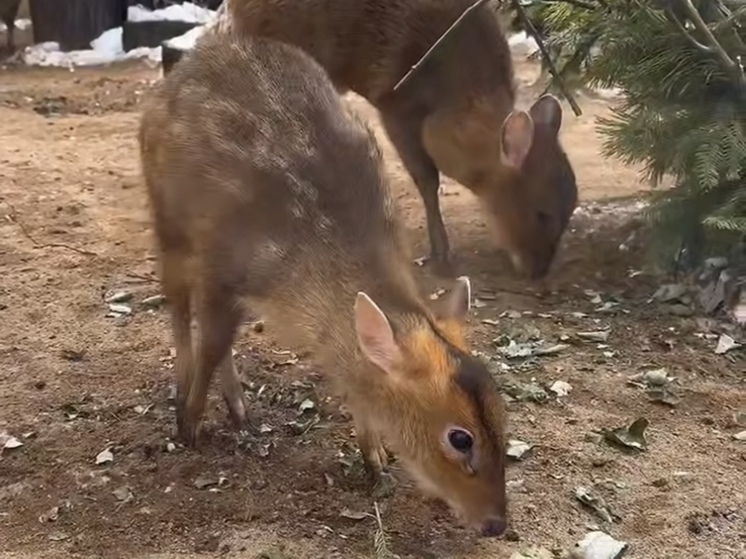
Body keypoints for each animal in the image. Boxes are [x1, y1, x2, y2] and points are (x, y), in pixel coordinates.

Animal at [137, 31, 508, 540]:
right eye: (460, 437)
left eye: (503, 416)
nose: (497, 523)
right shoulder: (223, 264)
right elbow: (210, 344)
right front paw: (188, 425)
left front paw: (375, 457)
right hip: (167, 216)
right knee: (176, 307)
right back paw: (186, 396)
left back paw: (239, 410)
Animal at [212, 0, 580, 280]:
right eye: (542, 213)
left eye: (570, 210)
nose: (538, 273)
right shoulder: (394, 102)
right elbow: (427, 179)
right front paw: (441, 257)